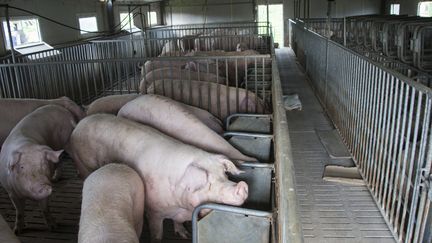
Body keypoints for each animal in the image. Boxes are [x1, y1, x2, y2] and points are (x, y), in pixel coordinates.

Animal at [0, 105, 77, 234]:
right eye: (22, 167)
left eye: (44, 165)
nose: (43, 185)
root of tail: (65, 111)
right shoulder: (11, 193)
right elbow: (19, 212)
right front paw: (17, 231)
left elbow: (45, 209)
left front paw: (54, 228)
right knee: (59, 161)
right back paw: (55, 178)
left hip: (67, 141)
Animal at [69, 114, 248, 241]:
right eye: (208, 183)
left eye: (224, 174)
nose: (242, 186)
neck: (180, 205)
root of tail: (81, 123)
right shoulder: (153, 210)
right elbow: (157, 233)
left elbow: (178, 223)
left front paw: (184, 235)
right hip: (84, 162)